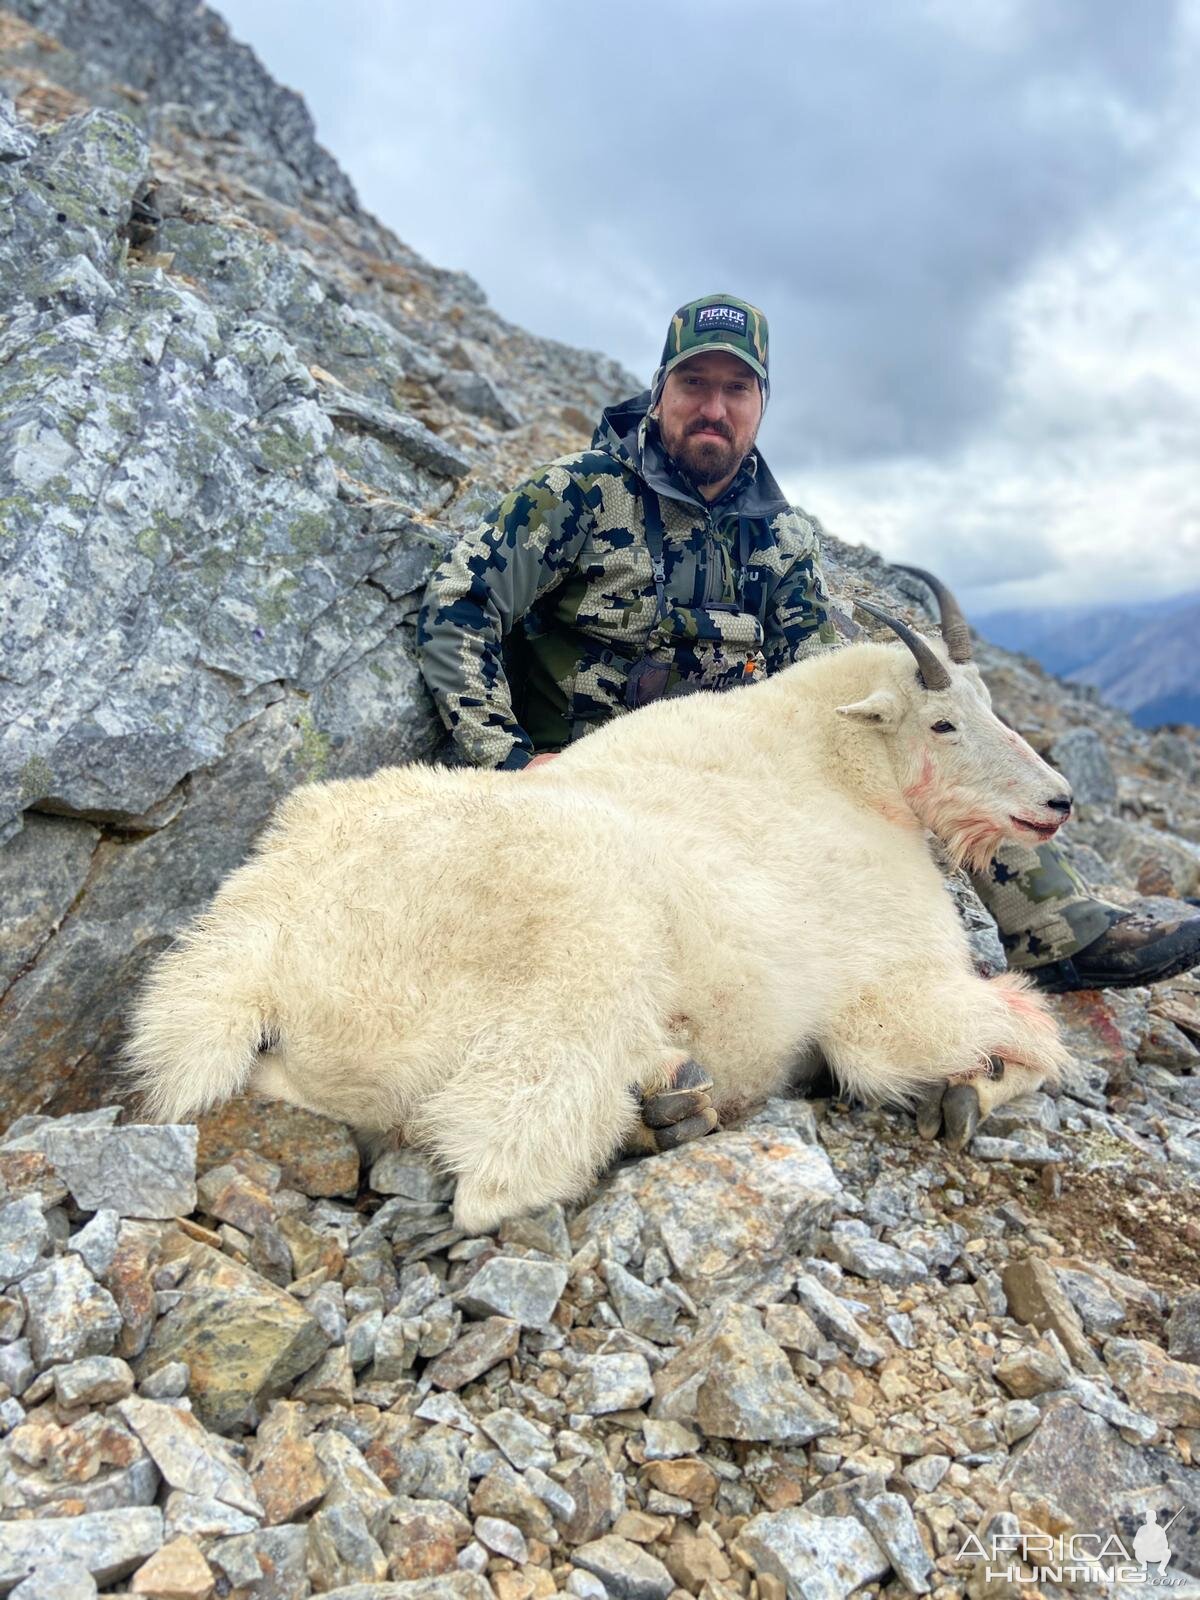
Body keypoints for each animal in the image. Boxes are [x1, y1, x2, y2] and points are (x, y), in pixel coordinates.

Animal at [127, 569, 1075, 1228]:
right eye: (943, 723)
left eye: (992, 703)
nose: (1057, 800)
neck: (842, 774)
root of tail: (259, 974)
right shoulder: (888, 992)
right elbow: (1016, 1035)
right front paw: (966, 1091)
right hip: (583, 968)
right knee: (501, 1171)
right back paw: (661, 1111)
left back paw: (671, 1100)